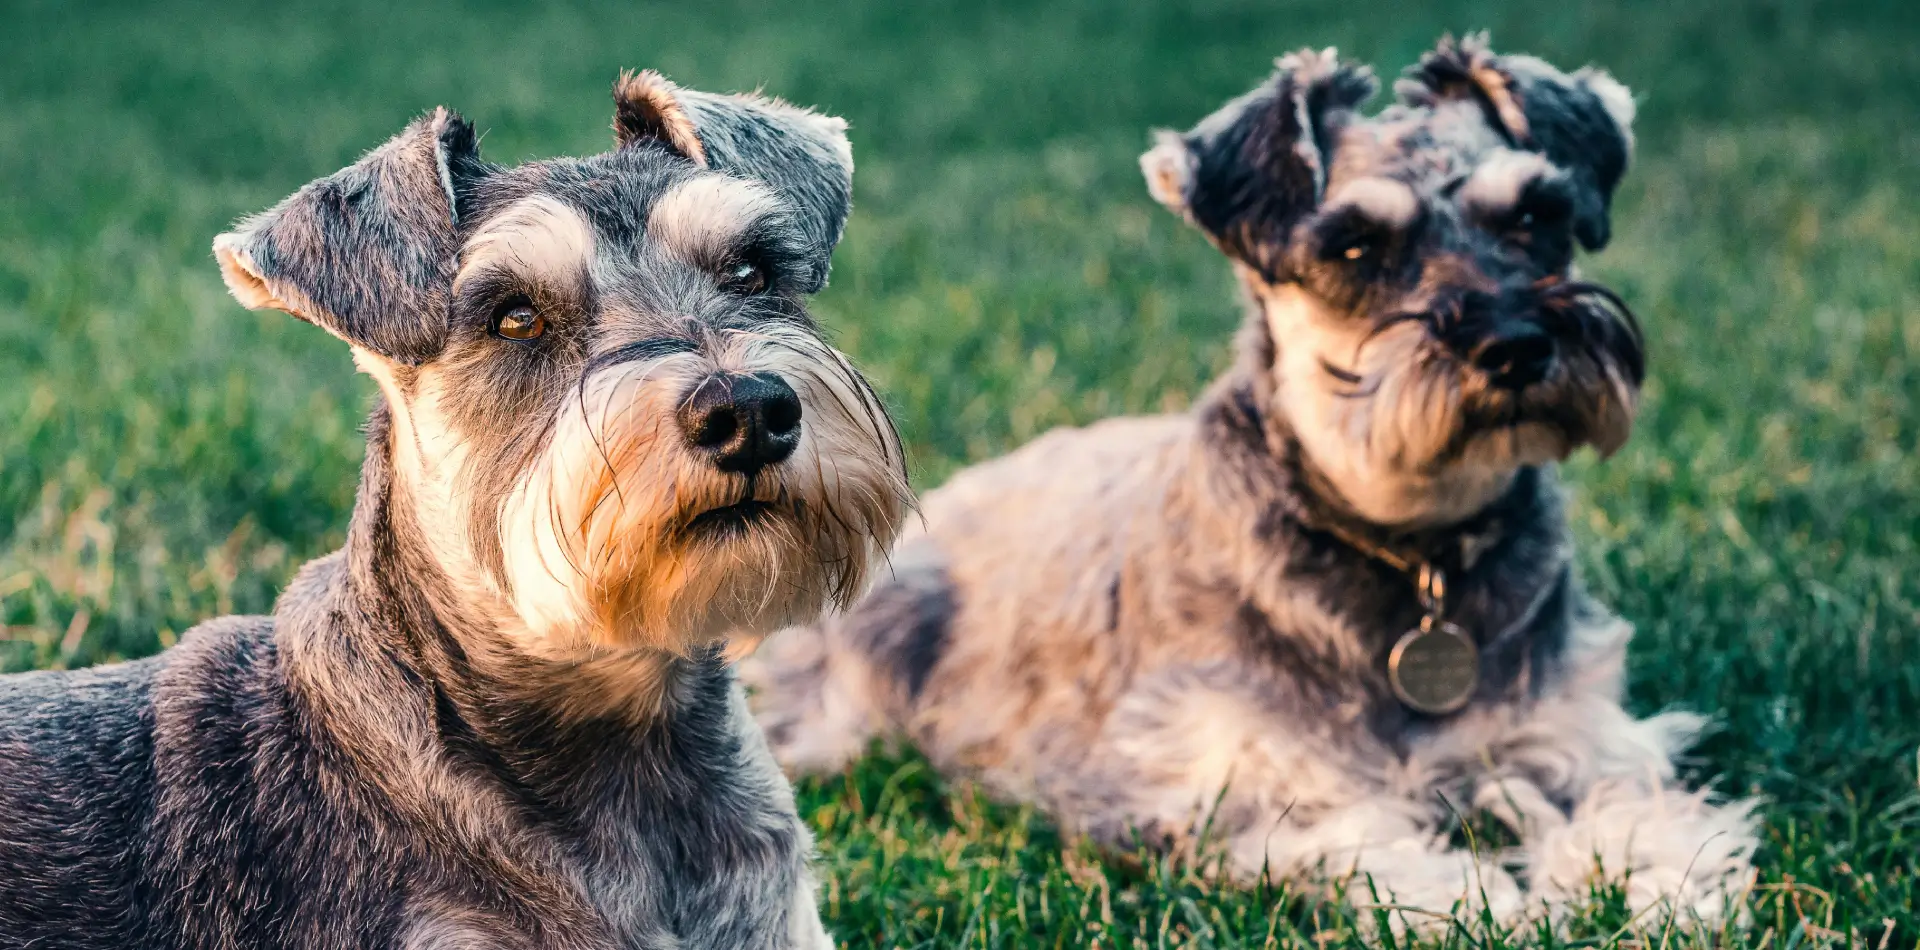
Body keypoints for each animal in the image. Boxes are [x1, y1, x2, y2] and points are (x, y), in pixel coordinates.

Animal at [748, 37, 1758, 928]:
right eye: (1354, 248)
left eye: (1535, 217)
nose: (1515, 345)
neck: (1415, 552)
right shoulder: (1238, 777)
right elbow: (1376, 841)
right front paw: (1492, 904)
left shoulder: (1584, 734)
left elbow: (1638, 813)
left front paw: (1657, 889)